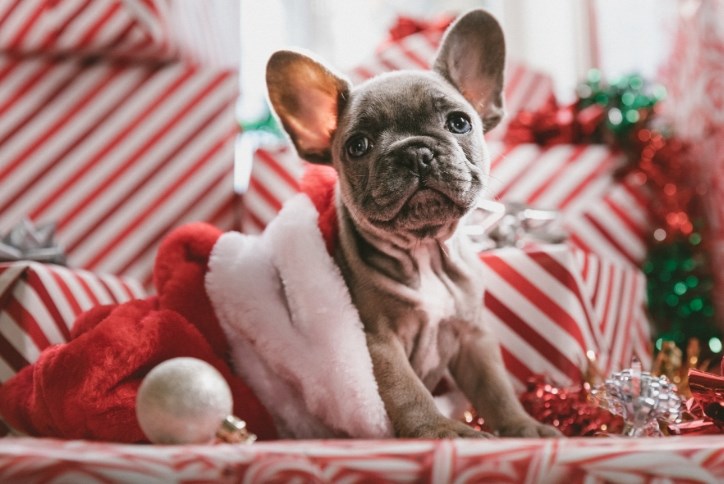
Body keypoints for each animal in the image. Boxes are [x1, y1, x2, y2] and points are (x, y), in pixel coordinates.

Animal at [266, 8, 560, 438]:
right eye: (357, 146)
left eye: (459, 123)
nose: (415, 152)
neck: (424, 250)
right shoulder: (378, 344)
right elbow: (408, 392)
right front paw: (442, 430)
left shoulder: (473, 337)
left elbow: (496, 388)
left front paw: (523, 427)